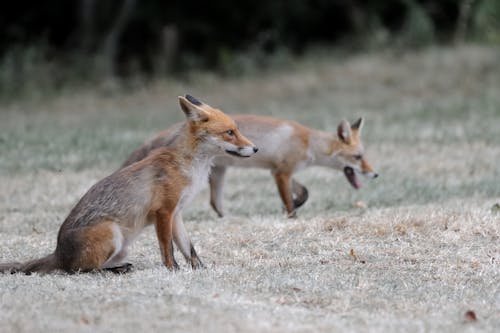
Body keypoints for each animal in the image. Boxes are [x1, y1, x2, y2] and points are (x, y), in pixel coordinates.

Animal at [0, 95, 258, 272]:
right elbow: (168, 248)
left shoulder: (177, 213)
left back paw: (120, 267)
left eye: (236, 129)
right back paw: (115, 271)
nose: (255, 148)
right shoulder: (164, 211)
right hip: (112, 233)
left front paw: (200, 270)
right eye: (230, 132)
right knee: (82, 270)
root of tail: (58, 253)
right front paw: (172, 270)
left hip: (122, 246)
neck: (190, 168)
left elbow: (188, 247)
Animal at [123, 114, 376, 218]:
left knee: (215, 203)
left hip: (219, 173)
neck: (309, 143)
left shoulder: (281, 171)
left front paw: (292, 205)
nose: (375, 174)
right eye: (358, 157)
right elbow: (289, 200)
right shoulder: (281, 172)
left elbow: (304, 192)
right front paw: (291, 215)